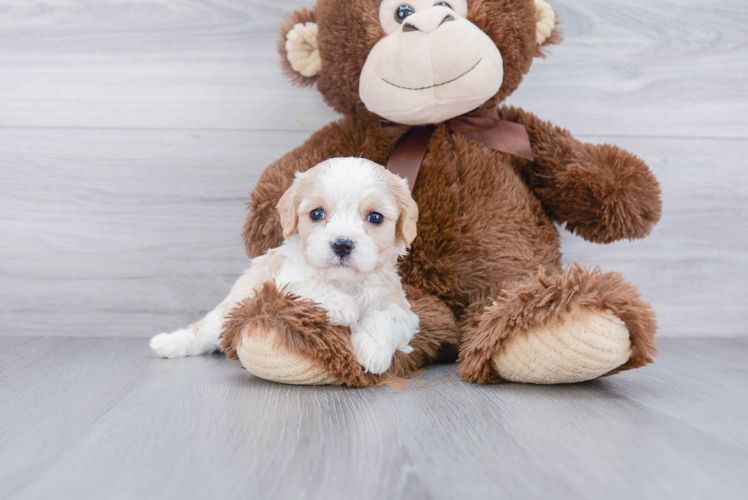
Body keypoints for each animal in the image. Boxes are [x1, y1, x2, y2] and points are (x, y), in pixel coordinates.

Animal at [150, 158, 420, 374]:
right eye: (317, 213)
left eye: (375, 217)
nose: (342, 244)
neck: (343, 282)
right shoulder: (283, 282)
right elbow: (311, 286)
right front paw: (343, 306)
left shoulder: (403, 309)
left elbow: (386, 318)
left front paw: (374, 352)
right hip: (228, 310)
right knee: (201, 331)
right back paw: (168, 343)